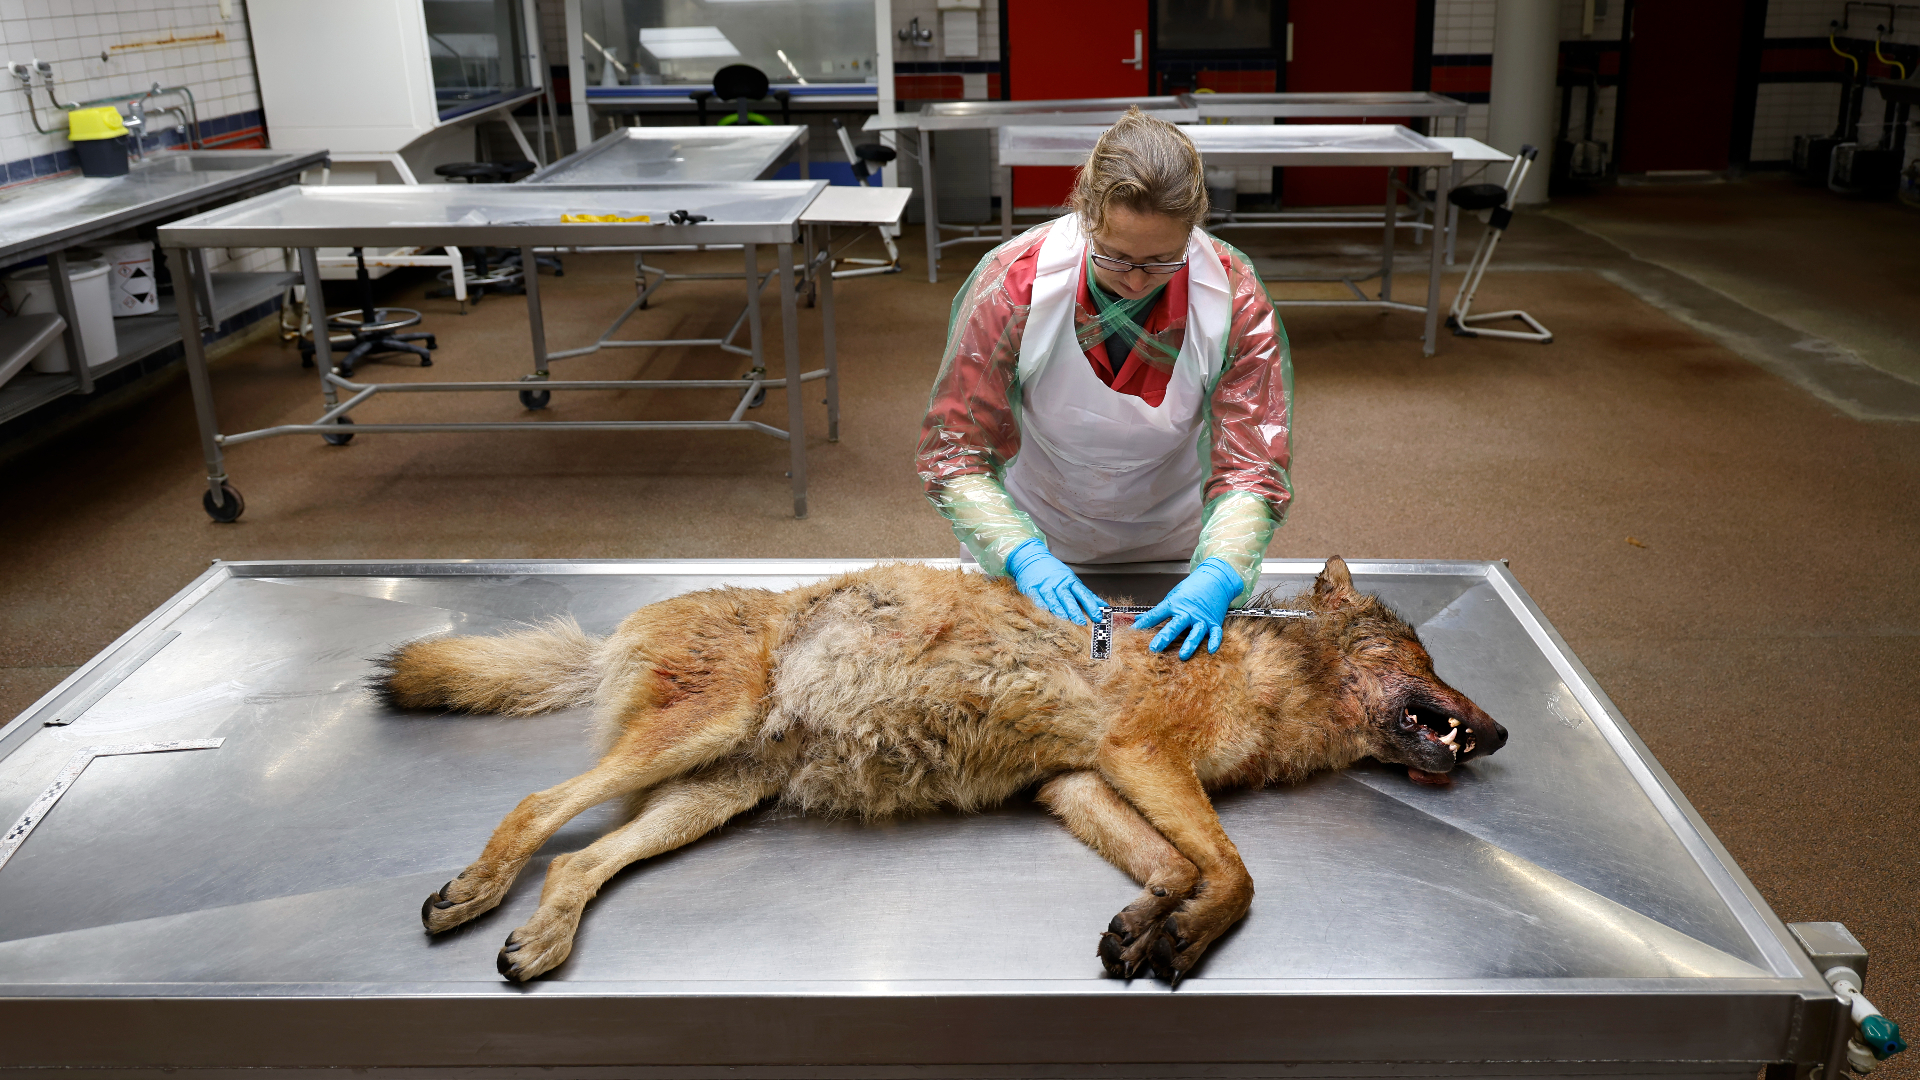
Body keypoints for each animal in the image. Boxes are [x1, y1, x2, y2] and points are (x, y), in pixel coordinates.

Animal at [378, 557, 1507, 984]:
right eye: (1428, 660)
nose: (1498, 736)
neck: (1267, 675)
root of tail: (625, 623)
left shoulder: (1076, 783)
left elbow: (1177, 867)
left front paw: (1148, 925)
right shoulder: (1140, 758)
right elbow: (1235, 873)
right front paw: (1185, 936)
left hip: (710, 796)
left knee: (581, 862)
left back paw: (541, 938)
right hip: (694, 743)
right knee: (539, 806)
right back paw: (477, 892)